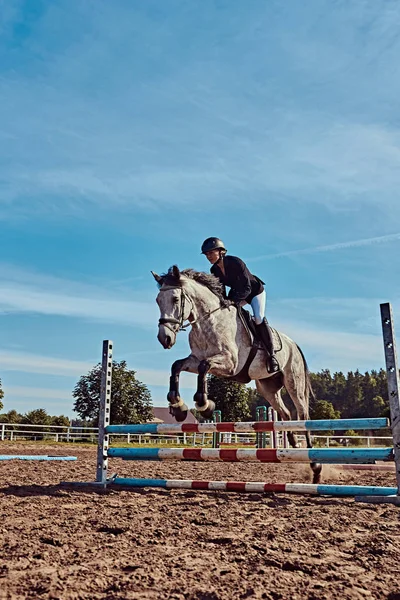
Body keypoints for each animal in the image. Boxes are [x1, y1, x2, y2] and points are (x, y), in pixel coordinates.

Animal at [152, 268, 322, 488]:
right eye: (158, 300)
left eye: (174, 299)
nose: (164, 339)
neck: (208, 321)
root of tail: (294, 344)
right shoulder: (194, 359)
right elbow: (177, 366)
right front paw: (178, 406)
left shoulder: (229, 363)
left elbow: (204, 367)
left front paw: (204, 405)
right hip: (267, 388)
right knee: (285, 413)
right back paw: (293, 443)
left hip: (294, 383)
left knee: (302, 414)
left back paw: (315, 465)